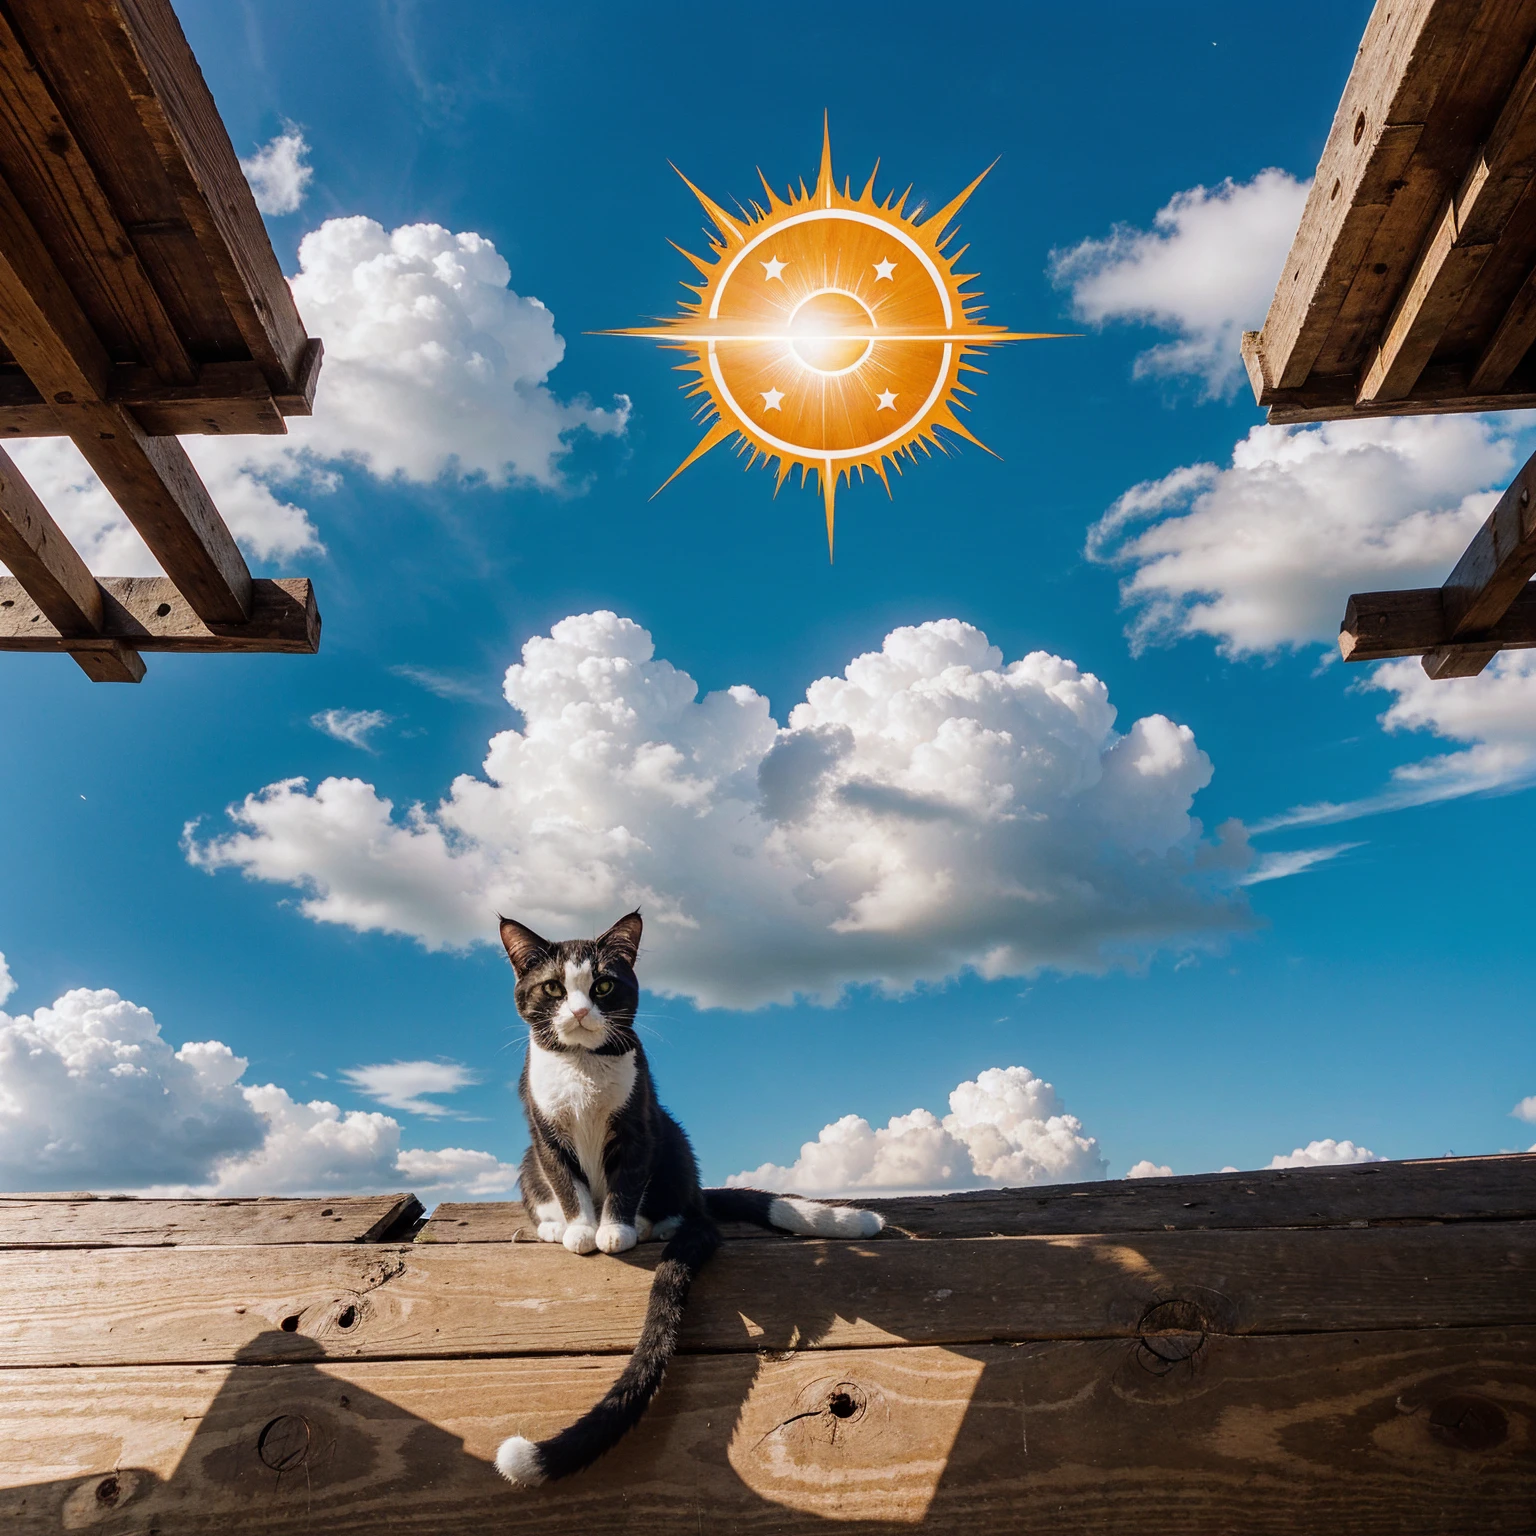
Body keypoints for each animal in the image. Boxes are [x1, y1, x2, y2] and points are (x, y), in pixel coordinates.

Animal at [485, 909, 884, 1486]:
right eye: (554, 987)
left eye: (603, 986)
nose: (580, 1011)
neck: (581, 1066)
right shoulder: (544, 1129)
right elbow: (566, 1180)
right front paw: (581, 1228)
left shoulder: (640, 1121)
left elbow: (627, 1180)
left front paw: (615, 1230)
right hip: (528, 1160)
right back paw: (553, 1226)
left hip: (673, 1138)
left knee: (682, 1200)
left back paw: (657, 1225)